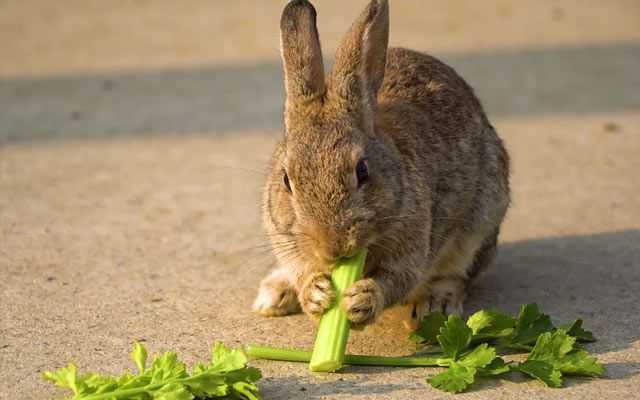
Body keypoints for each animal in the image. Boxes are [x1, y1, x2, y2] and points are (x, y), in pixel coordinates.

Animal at [253, 0, 510, 329]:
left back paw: (435, 307)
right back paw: (274, 294)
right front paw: (315, 293)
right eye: (286, 180)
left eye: (362, 171)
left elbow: (398, 279)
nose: (333, 248)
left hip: (481, 221)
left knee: (458, 274)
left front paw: (363, 300)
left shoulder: (413, 243)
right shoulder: (283, 236)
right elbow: (300, 267)